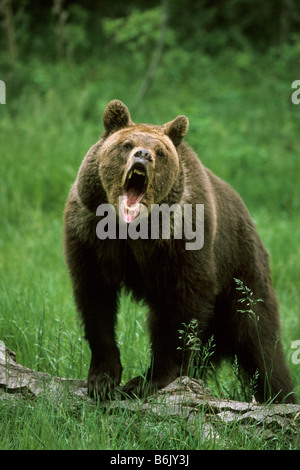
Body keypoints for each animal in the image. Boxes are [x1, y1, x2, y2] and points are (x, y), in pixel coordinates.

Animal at [63, 99, 296, 404]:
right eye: (127, 144)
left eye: (160, 152)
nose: (143, 155)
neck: (130, 229)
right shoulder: (89, 235)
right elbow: (95, 300)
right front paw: (102, 379)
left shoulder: (182, 241)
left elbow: (181, 306)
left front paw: (146, 380)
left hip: (242, 272)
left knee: (261, 342)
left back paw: (280, 396)